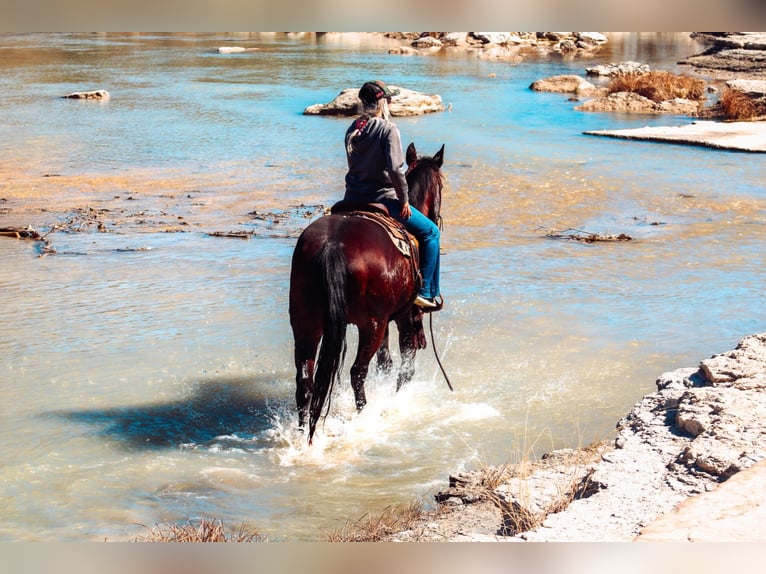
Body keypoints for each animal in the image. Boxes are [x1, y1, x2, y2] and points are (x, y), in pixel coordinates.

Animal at [288, 143, 444, 446]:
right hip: (371, 324)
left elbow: (386, 363)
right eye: (442, 185)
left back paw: (302, 435)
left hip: (306, 323)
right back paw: (364, 416)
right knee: (357, 373)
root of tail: (333, 245)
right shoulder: (405, 317)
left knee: (305, 380)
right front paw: (397, 400)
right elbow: (406, 366)